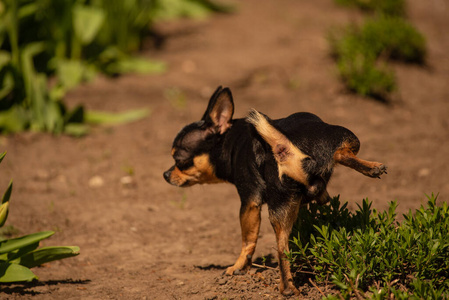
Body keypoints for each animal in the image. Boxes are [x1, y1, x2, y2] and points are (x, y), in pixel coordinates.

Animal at [163, 86, 386, 296]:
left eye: (179, 160)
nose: (165, 174)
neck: (231, 141)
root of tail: (283, 146)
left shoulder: (249, 202)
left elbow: (248, 241)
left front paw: (237, 267)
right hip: (338, 143)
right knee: (283, 248)